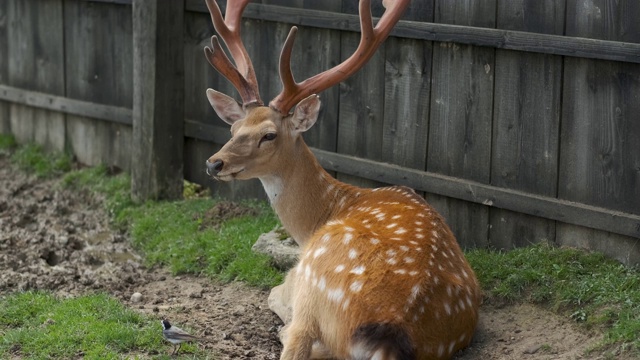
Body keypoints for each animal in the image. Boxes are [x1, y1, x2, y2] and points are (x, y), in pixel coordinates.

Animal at [204, 0, 480, 358]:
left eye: (269, 135)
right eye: (234, 128)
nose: (214, 163)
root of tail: (391, 334)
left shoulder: (297, 273)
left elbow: (273, 293)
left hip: (314, 277)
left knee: (297, 335)